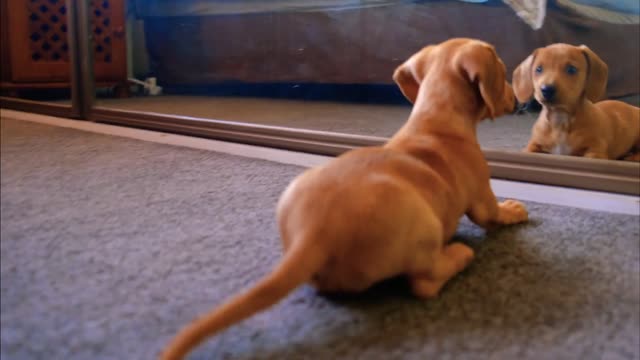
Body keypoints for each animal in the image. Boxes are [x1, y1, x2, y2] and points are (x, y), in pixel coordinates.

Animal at [161, 38, 528, 360]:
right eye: (503, 71)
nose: (517, 101)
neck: (435, 117)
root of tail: (314, 233)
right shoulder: (481, 196)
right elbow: (493, 214)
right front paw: (513, 208)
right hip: (424, 227)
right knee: (424, 282)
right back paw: (458, 255)